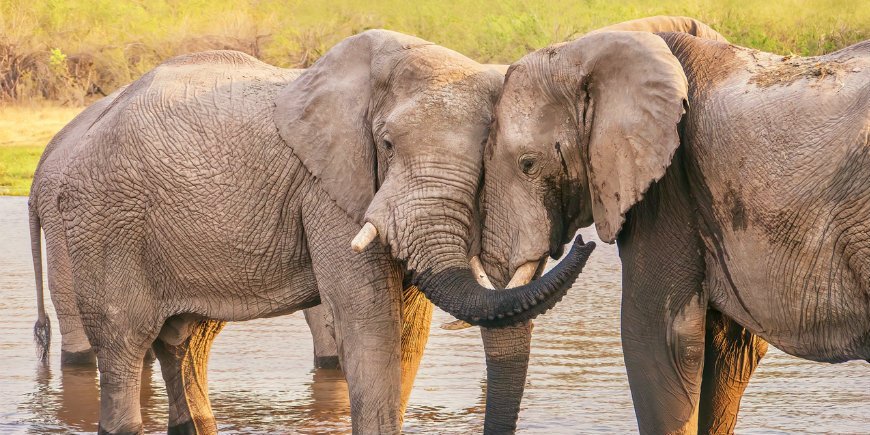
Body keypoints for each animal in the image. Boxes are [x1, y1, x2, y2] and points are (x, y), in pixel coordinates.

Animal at [36, 29, 592, 434]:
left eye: (486, 161)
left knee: (186, 342)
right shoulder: (327, 189)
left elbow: (408, 330)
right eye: (386, 144)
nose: (583, 242)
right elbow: (368, 321)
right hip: (103, 223)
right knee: (124, 340)